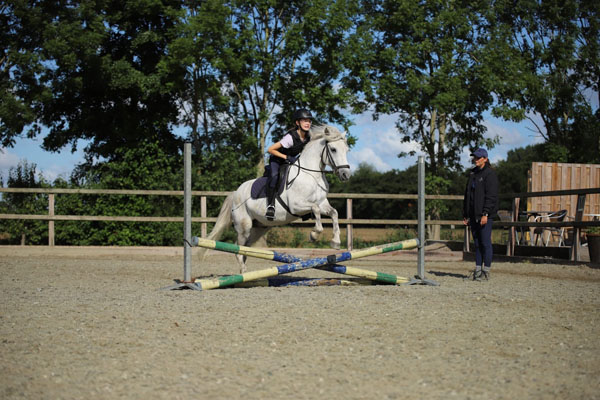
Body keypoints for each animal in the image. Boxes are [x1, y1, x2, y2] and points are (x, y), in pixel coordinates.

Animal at [203, 125, 350, 272]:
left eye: (346, 150)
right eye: (333, 149)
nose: (345, 175)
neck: (312, 175)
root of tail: (235, 193)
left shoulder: (322, 204)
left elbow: (334, 213)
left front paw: (335, 242)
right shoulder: (296, 206)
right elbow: (315, 209)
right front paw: (314, 235)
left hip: (260, 227)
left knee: (245, 248)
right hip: (244, 226)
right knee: (238, 249)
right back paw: (243, 272)